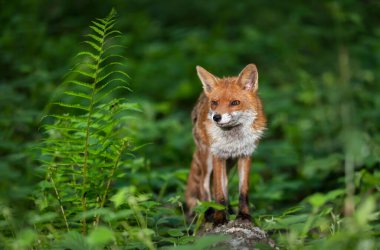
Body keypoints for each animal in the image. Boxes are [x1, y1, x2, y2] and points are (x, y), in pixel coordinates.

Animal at [186, 64, 266, 225]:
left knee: (226, 185)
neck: (233, 138)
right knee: (204, 186)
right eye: (215, 103)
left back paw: (229, 210)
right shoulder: (218, 155)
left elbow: (243, 192)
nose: (216, 117)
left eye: (235, 102)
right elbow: (218, 193)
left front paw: (244, 215)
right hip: (207, 159)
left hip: (229, 163)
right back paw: (208, 213)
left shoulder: (245, 155)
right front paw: (219, 218)